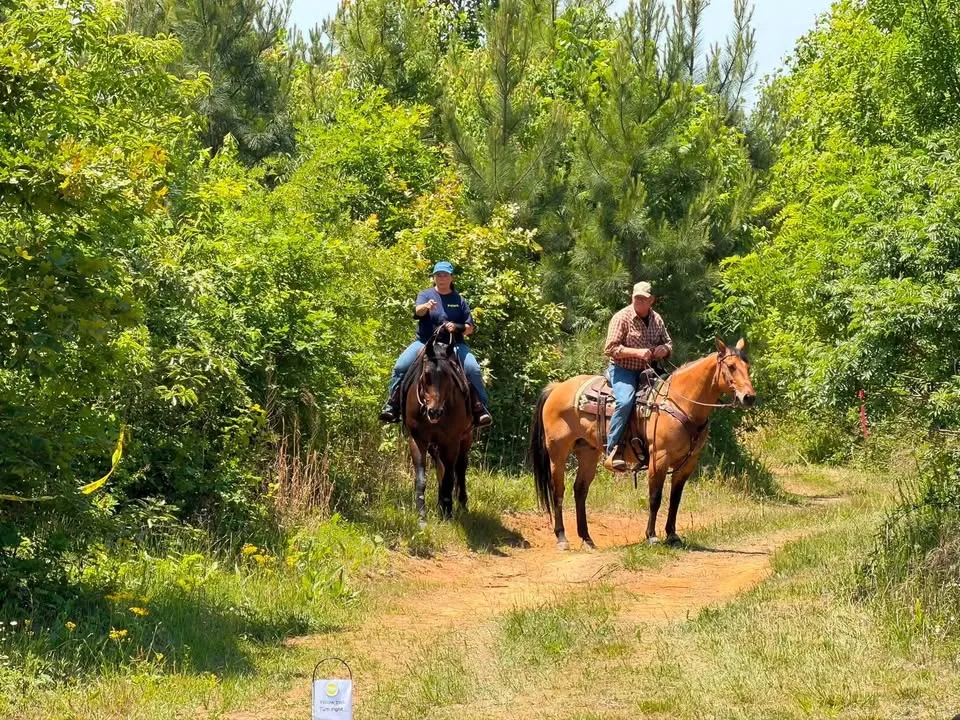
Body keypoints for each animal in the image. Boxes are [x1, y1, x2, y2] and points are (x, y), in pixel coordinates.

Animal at [400, 332, 474, 527]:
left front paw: (447, 512)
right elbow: (422, 478)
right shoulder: (417, 439)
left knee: (460, 468)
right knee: (440, 467)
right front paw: (422, 516)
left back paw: (461, 504)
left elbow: (449, 477)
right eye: (426, 375)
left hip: (466, 438)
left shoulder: (452, 442)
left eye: (448, 375)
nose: (434, 411)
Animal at [529, 338, 756, 550]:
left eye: (748, 367)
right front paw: (652, 536)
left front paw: (672, 535)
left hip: (588, 452)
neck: (680, 403)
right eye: (731, 367)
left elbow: (675, 499)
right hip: (558, 452)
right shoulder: (659, 458)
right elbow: (655, 497)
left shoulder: (688, 463)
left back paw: (587, 539)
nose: (749, 397)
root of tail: (557, 388)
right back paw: (562, 538)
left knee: (580, 490)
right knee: (558, 490)